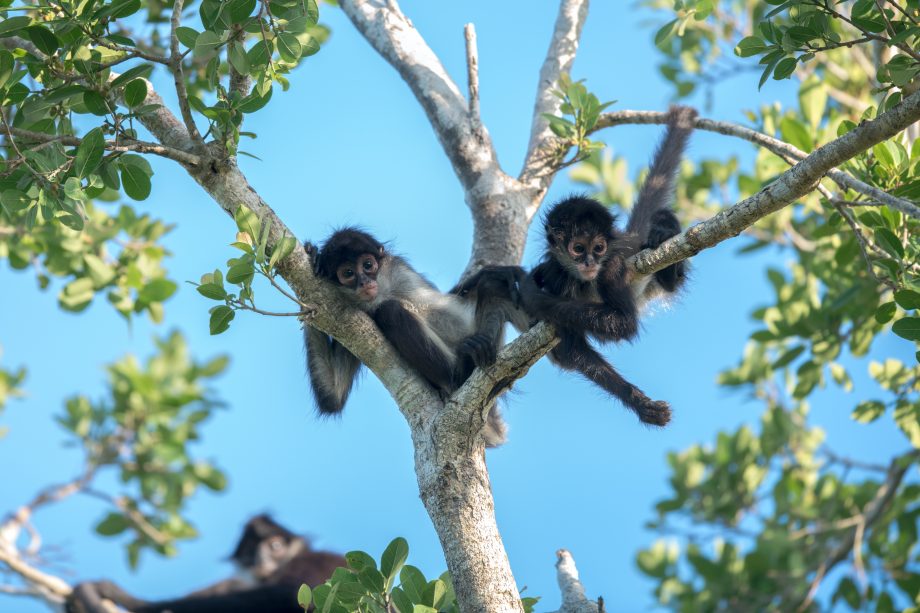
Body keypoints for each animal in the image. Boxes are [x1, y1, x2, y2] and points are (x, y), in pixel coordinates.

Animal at [66, 514, 346, 613]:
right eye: (249, 552)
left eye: (275, 546)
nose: (261, 560)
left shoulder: (313, 561)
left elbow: (290, 596)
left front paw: (133, 601)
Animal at [303, 228, 518, 446]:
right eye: (348, 273)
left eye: (368, 265)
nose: (364, 282)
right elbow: (333, 397)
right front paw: (312, 259)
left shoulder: (398, 270)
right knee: (389, 311)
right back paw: (460, 375)